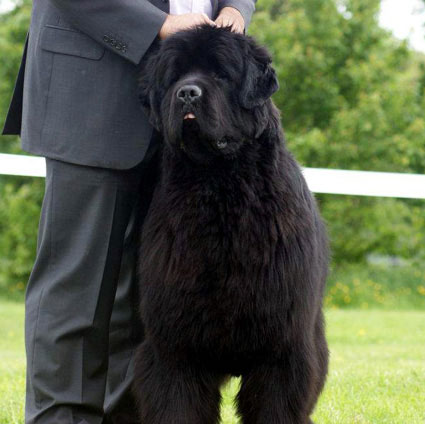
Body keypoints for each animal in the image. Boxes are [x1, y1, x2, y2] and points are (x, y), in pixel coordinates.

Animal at [132, 26, 328, 424]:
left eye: (221, 74)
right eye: (174, 76)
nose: (187, 93)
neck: (220, 191)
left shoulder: (282, 349)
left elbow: (276, 406)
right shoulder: (175, 347)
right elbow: (177, 404)